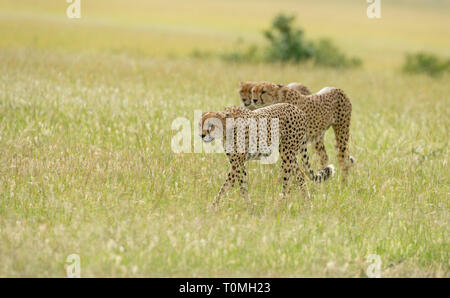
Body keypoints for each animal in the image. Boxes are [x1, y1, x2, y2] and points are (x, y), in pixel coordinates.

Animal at [200, 103, 334, 204]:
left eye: (211, 125)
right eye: (200, 124)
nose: (202, 135)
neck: (227, 128)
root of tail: (298, 109)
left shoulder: (236, 164)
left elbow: (225, 186)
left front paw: (213, 207)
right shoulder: (239, 163)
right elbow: (242, 185)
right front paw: (248, 205)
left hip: (287, 153)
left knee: (287, 178)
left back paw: (281, 202)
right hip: (290, 153)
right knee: (300, 174)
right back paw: (307, 202)